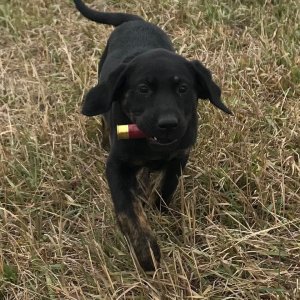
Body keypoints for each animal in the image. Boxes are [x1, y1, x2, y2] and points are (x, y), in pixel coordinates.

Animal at [73, 0, 232, 270]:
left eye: (183, 88)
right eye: (143, 89)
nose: (168, 124)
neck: (152, 147)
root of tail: (135, 21)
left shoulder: (180, 155)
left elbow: (167, 186)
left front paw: (160, 210)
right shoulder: (117, 166)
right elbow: (128, 209)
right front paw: (146, 251)